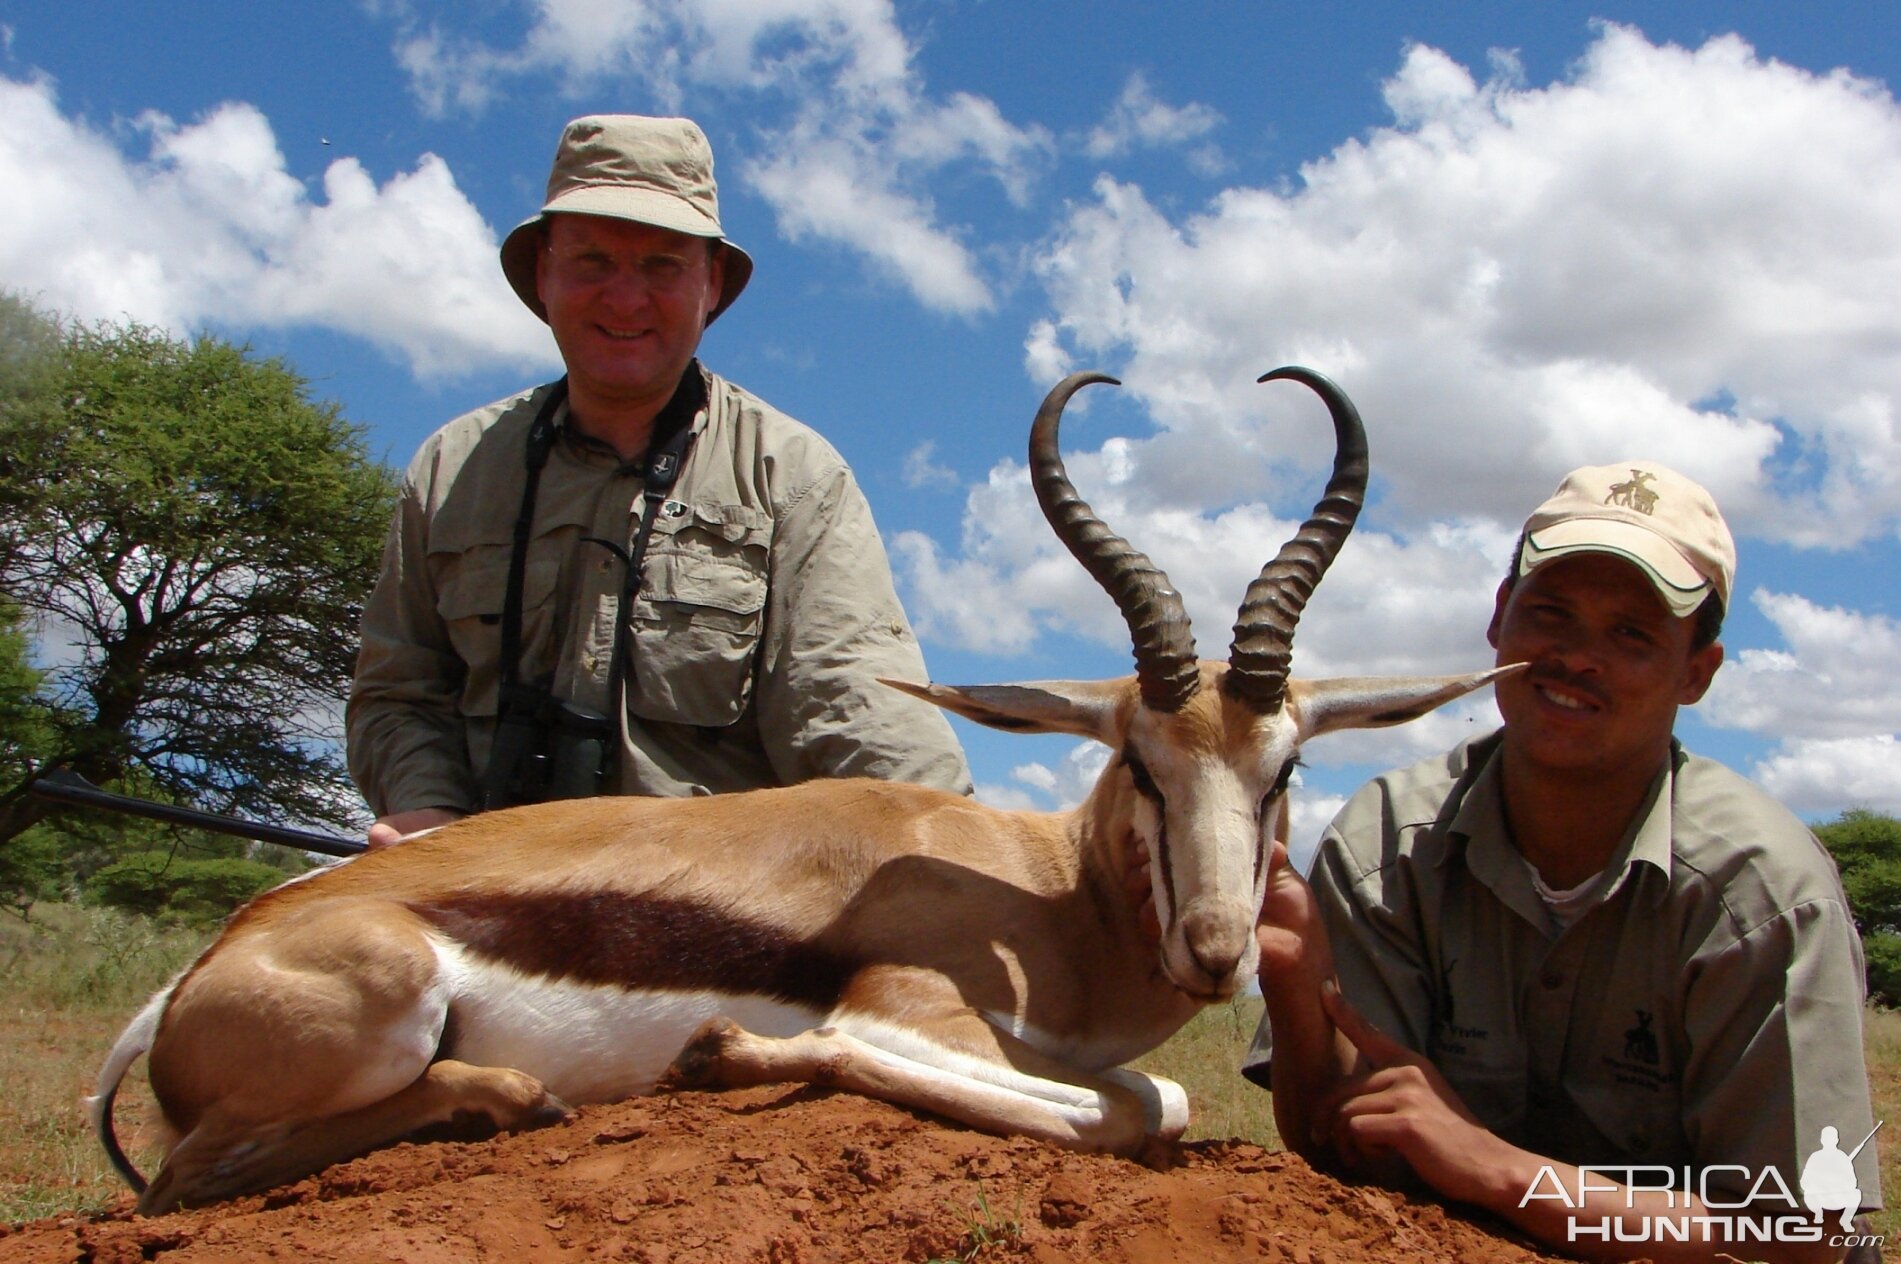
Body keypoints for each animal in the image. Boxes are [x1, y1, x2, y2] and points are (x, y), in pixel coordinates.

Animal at [92, 366, 1513, 1216]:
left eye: (1286, 769)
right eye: (1137, 764)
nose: (1216, 951)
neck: (1046, 899)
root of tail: (209, 963)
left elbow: (1139, 1097)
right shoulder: (912, 1008)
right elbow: (1139, 1106)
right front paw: (728, 1052)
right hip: (380, 1005)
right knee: (183, 1179)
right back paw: (518, 1096)